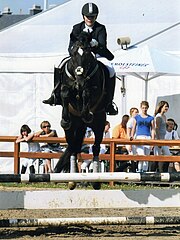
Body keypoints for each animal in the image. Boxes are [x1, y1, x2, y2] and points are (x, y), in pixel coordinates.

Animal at [53, 31, 109, 189]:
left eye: (88, 53)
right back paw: (72, 179)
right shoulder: (66, 88)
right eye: (73, 54)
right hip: (73, 129)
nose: (80, 83)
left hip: (99, 124)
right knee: (73, 147)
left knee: (95, 148)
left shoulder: (93, 90)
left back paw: (96, 181)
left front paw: (87, 113)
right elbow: (65, 93)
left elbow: (87, 93)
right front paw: (65, 120)